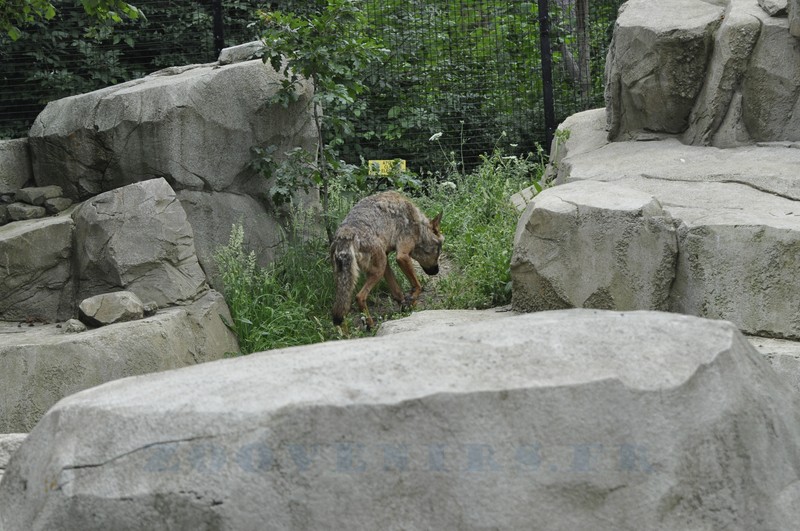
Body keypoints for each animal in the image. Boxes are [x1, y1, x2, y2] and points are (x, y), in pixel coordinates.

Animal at [331, 191, 444, 329]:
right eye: (439, 251)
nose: (436, 271)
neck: (418, 224)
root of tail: (346, 234)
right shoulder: (402, 256)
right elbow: (418, 286)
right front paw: (411, 300)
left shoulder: (387, 263)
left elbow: (397, 292)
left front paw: (407, 307)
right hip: (377, 271)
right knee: (359, 297)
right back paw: (370, 325)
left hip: (352, 279)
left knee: (340, 311)